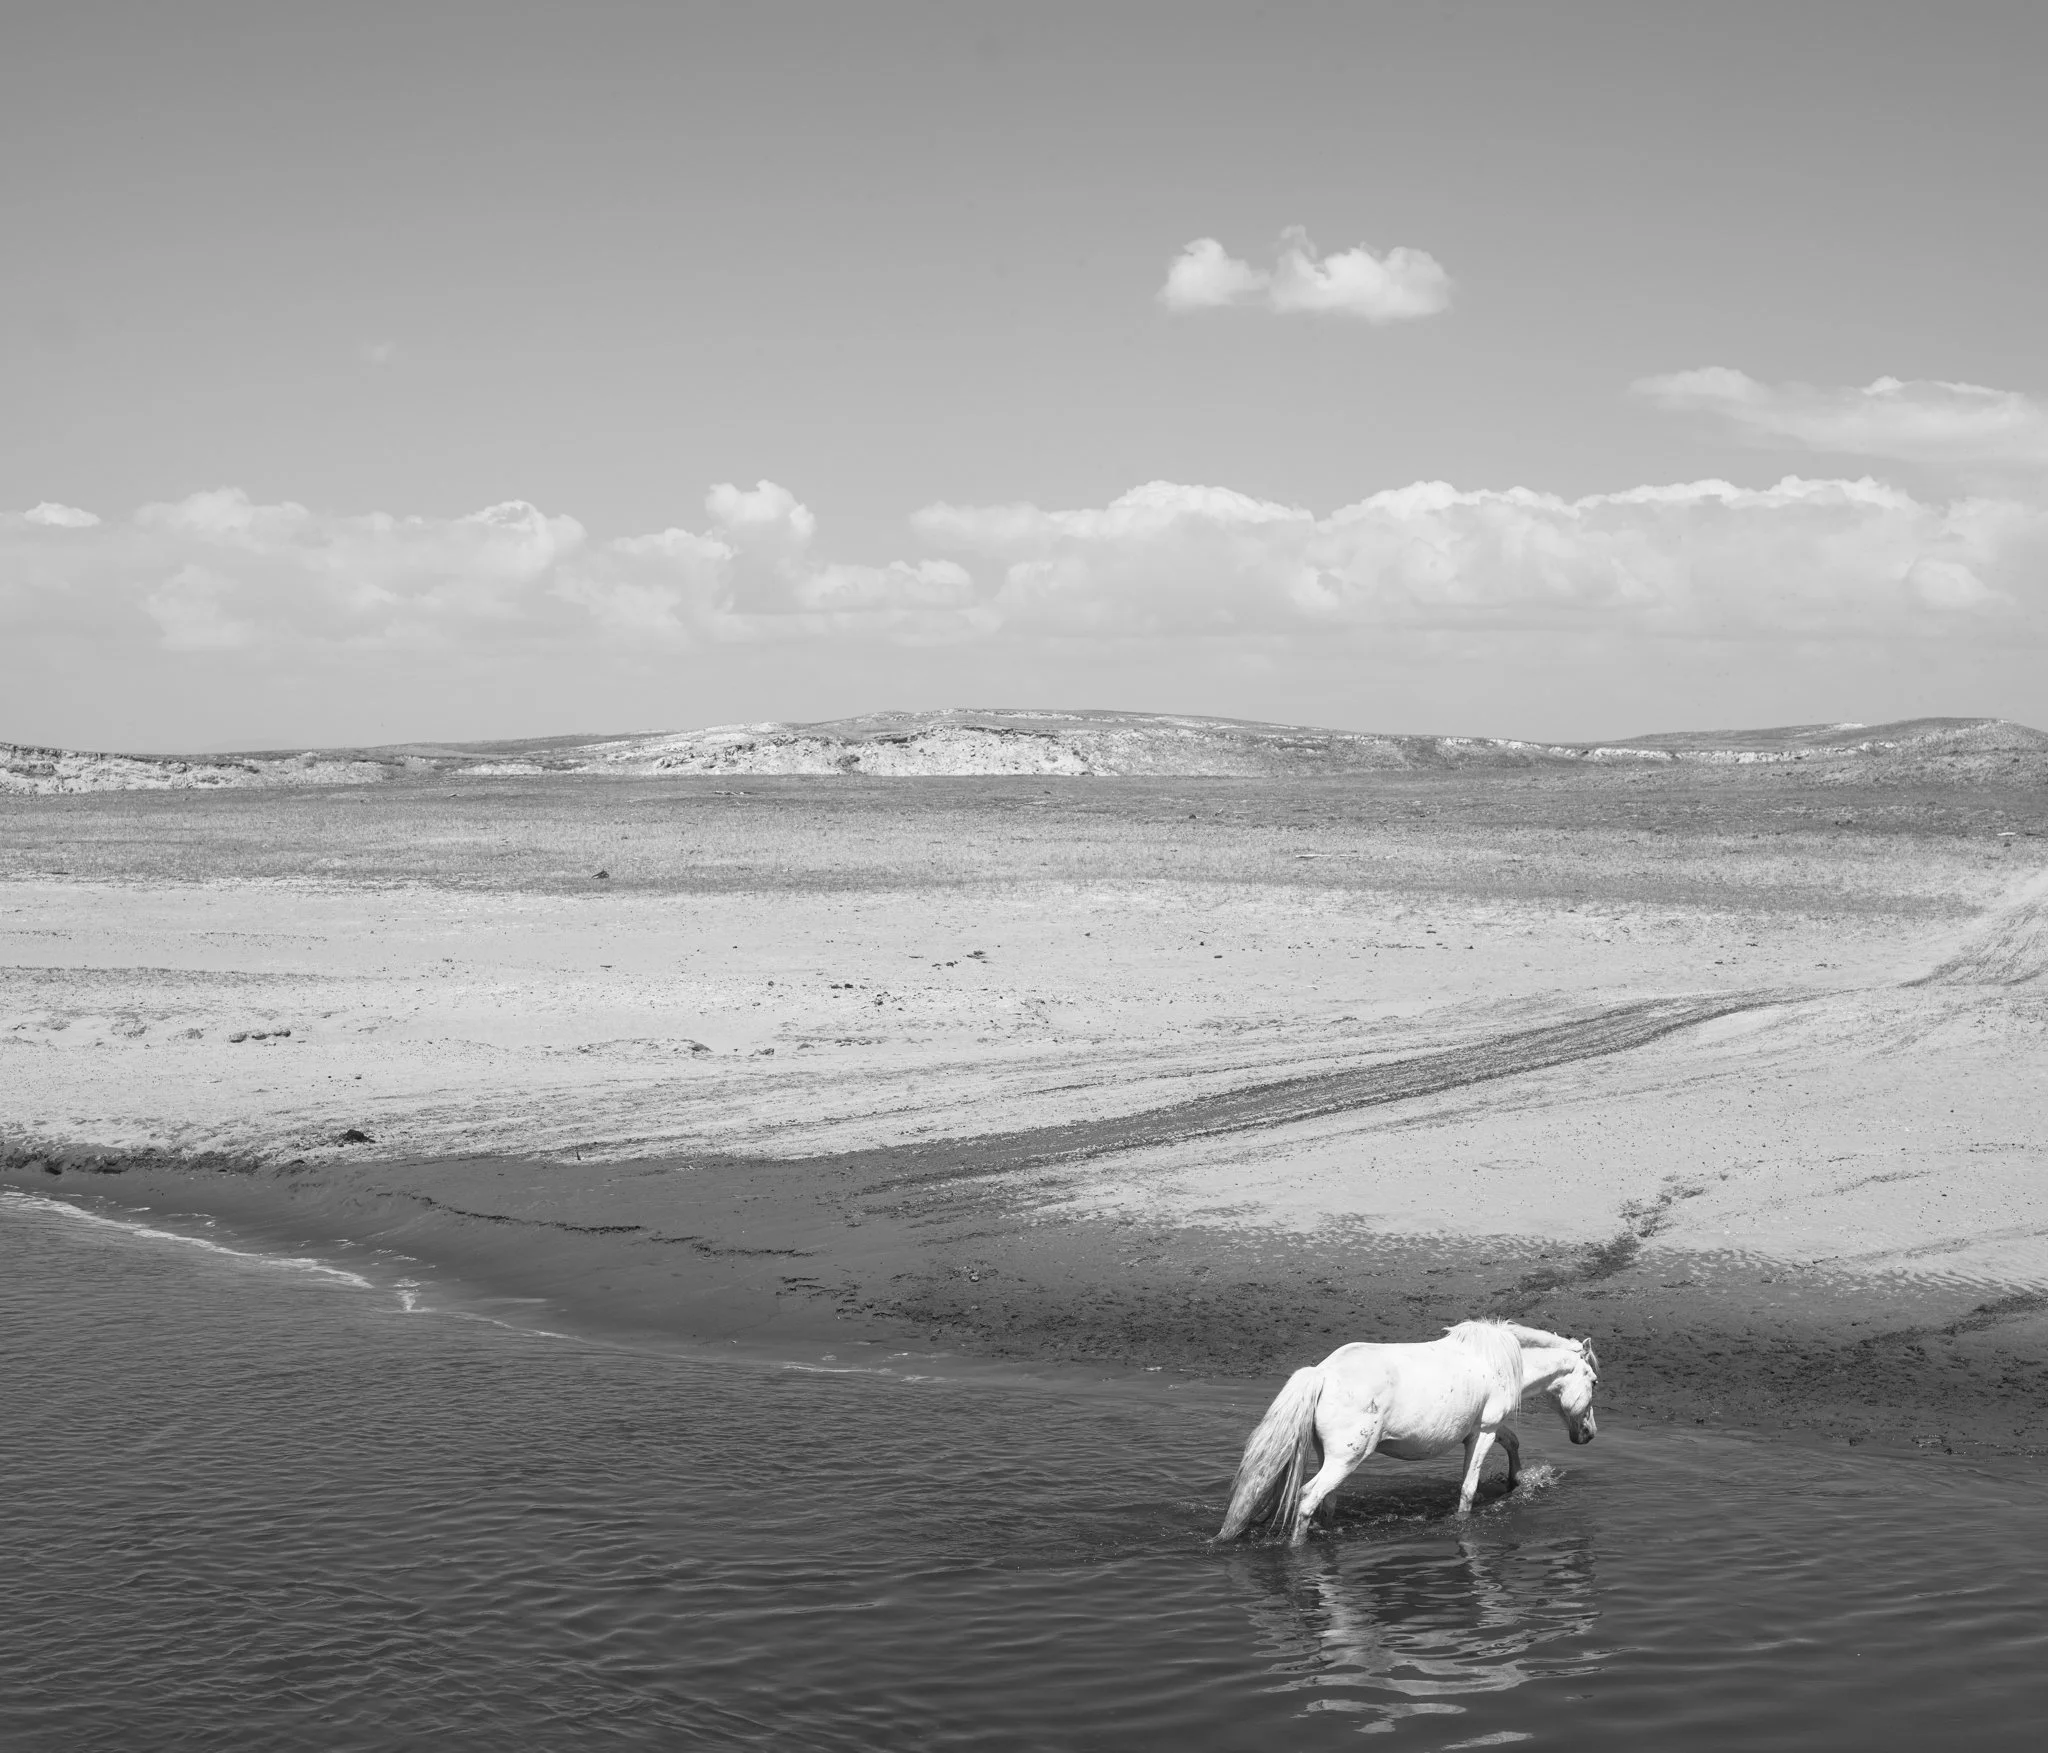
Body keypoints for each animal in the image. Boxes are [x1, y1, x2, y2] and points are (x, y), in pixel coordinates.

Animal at [1214, 1320, 1600, 1544]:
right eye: (1594, 1381)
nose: (1589, 1434)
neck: (1501, 1360)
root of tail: (1322, 1373)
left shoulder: (1478, 1430)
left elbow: (1513, 1442)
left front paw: (1517, 1481)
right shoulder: (1485, 1430)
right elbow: (1468, 1488)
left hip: (1329, 1457)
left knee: (1326, 1501)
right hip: (1346, 1458)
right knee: (1308, 1497)